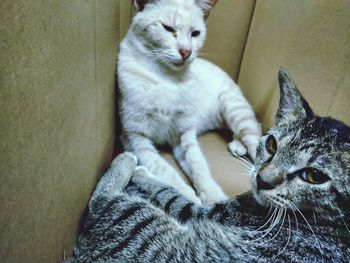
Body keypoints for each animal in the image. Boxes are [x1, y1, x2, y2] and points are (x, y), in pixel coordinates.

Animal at [68, 69, 350, 262]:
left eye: (314, 175)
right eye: (271, 145)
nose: (262, 180)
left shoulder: (208, 213)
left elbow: (170, 194)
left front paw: (144, 174)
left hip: (140, 226)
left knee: (100, 203)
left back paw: (126, 161)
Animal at [117, 0, 260, 206]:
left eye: (195, 33)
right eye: (168, 28)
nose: (186, 52)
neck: (166, 79)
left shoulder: (184, 136)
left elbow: (199, 168)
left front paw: (214, 198)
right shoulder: (135, 139)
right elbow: (166, 171)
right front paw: (189, 197)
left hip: (235, 111)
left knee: (256, 136)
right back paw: (237, 146)